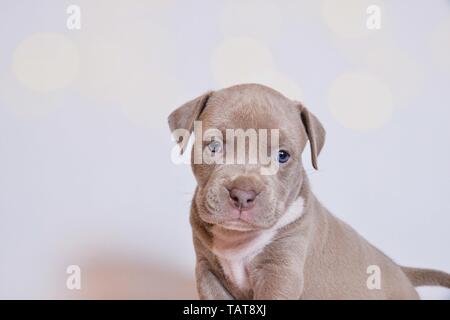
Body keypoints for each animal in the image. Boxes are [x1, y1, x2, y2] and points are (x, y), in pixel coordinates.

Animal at [167, 84, 448, 298]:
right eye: (214, 146)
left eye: (282, 155)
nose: (243, 194)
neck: (238, 239)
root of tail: (401, 270)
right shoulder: (208, 272)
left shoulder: (280, 273)